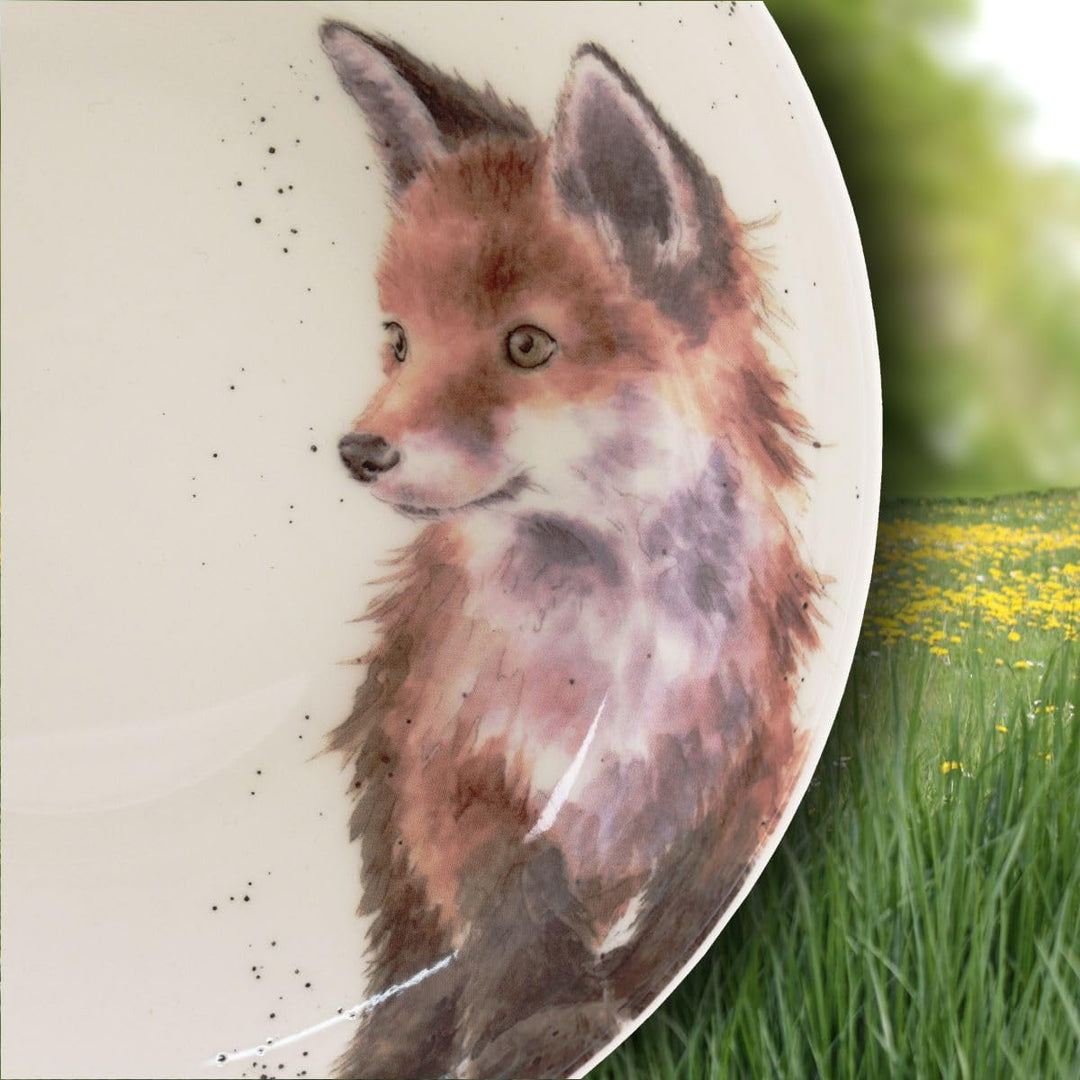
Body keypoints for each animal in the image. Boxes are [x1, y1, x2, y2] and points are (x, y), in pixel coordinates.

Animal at [320, 21, 823, 1080]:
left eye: (527, 347)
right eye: (399, 341)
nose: (359, 453)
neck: (618, 653)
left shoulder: (754, 759)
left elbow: (689, 912)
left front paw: (597, 1008)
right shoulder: (456, 762)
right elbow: (518, 905)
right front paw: (546, 1021)